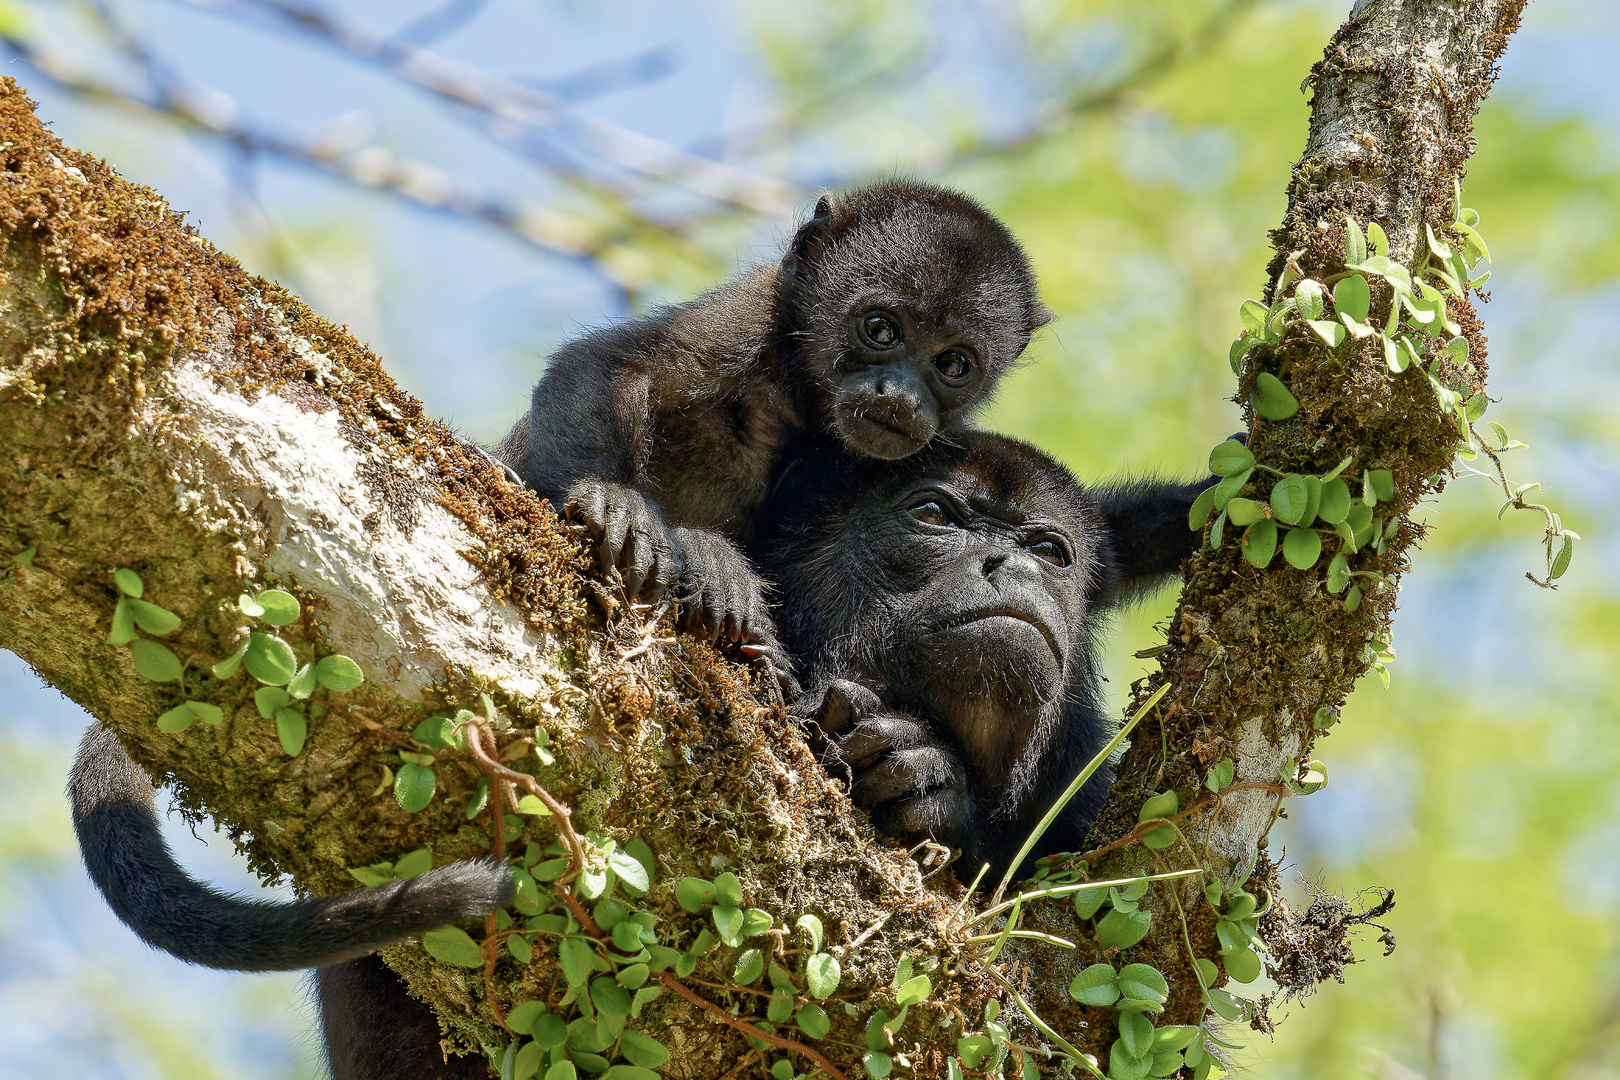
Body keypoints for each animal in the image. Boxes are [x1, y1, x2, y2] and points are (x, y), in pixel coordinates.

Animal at [495, 178, 1049, 654]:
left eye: (954, 364)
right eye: (880, 329)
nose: (899, 398)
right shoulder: (753, 311)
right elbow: (607, 365)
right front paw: (613, 500)